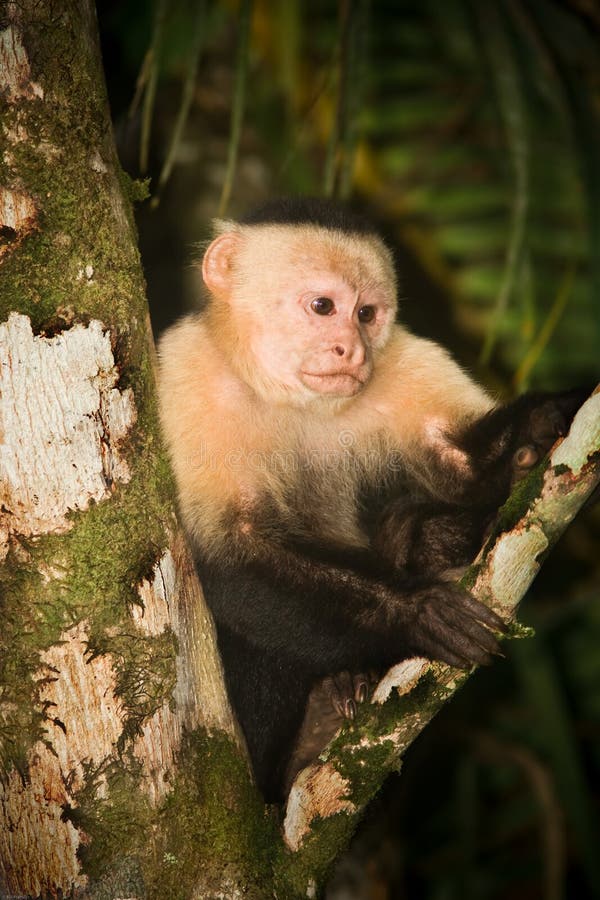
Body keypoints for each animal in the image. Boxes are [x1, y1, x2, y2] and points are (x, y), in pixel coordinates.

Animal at [157, 199, 584, 800]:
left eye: (366, 314)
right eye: (322, 306)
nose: (351, 349)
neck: (291, 399)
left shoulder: (407, 359)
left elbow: (464, 471)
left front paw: (543, 424)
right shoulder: (187, 376)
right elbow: (227, 554)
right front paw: (416, 610)